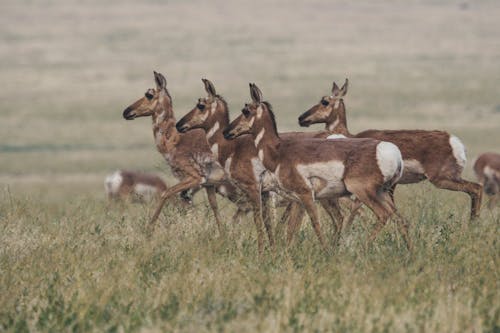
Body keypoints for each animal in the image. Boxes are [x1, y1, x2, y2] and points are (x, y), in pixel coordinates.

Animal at [122, 71, 228, 232]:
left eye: (149, 94)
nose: (126, 112)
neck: (176, 139)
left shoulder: (194, 178)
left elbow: (166, 193)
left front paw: (149, 230)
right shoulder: (208, 185)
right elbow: (215, 209)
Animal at [176, 78, 276, 252]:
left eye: (200, 105)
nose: (179, 124)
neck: (232, 149)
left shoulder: (253, 190)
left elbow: (258, 222)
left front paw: (262, 252)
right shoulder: (264, 192)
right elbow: (268, 223)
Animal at [223, 83, 410, 249]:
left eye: (246, 111)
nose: (226, 131)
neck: (279, 151)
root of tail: (391, 151)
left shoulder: (306, 195)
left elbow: (315, 225)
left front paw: (326, 252)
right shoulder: (296, 200)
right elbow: (291, 229)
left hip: (363, 192)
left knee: (383, 216)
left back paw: (362, 248)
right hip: (382, 193)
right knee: (401, 220)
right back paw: (410, 253)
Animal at [298, 79, 482, 219]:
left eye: (325, 101)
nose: (301, 118)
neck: (352, 136)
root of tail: (453, 140)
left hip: (442, 179)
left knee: (476, 189)